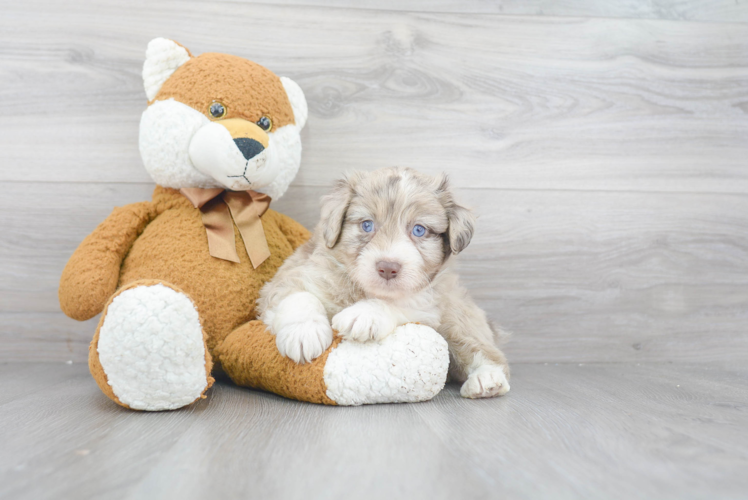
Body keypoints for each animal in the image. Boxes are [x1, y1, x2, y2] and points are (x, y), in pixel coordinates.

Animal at [260, 167, 512, 398]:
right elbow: (298, 295)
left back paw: (488, 379)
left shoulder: (431, 300)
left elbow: (398, 302)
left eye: (418, 230)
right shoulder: (291, 274)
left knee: (484, 350)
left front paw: (364, 315)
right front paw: (304, 333)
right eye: (367, 225)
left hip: (460, 316)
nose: (388, 268)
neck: (362, 290)